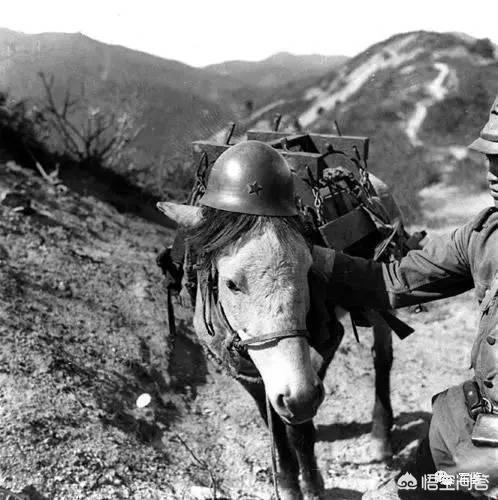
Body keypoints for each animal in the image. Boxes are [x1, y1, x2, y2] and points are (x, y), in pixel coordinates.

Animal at [156, 192, 396, 500]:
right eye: (232, 284)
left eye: (309, 271)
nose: (298, 397)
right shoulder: (240, 368)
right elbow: (273, 425)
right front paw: (287, 482)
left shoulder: (326, 347)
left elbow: (299, 427)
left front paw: (312, 485)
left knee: (382, 358)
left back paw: (380, 439)